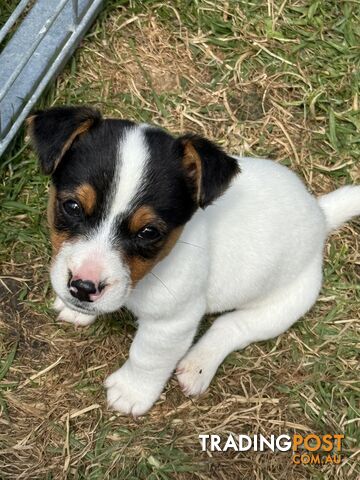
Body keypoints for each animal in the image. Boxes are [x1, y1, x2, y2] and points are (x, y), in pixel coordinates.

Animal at [28, 106, 360, 416]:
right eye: (72, 206)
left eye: (149, 232)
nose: (83, 288)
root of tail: (320, 215)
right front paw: (76, 310)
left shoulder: (172, 322)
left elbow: (146, 357)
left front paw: (131, 392)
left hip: (286, 303)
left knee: (232, 326)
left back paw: (198, 365)